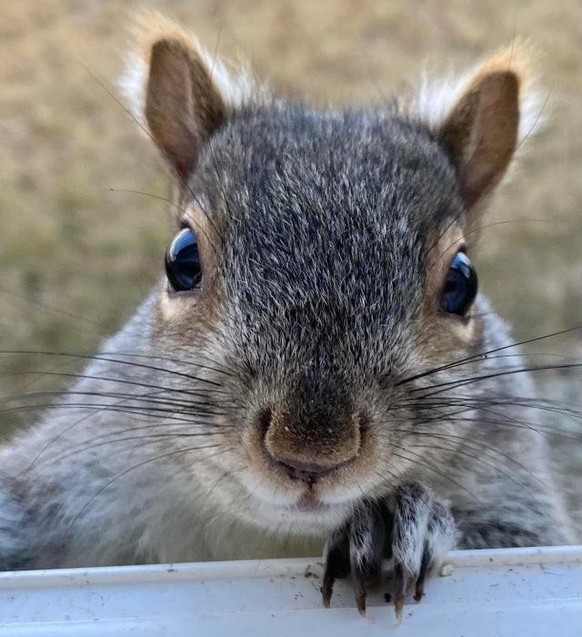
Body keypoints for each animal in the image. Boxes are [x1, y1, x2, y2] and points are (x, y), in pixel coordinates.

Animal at [0, 13, 576, 616]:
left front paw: (396, 520)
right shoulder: (65, 483)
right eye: (182, 259)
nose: (310, 451)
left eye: (462, 282)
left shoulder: (515, 490)